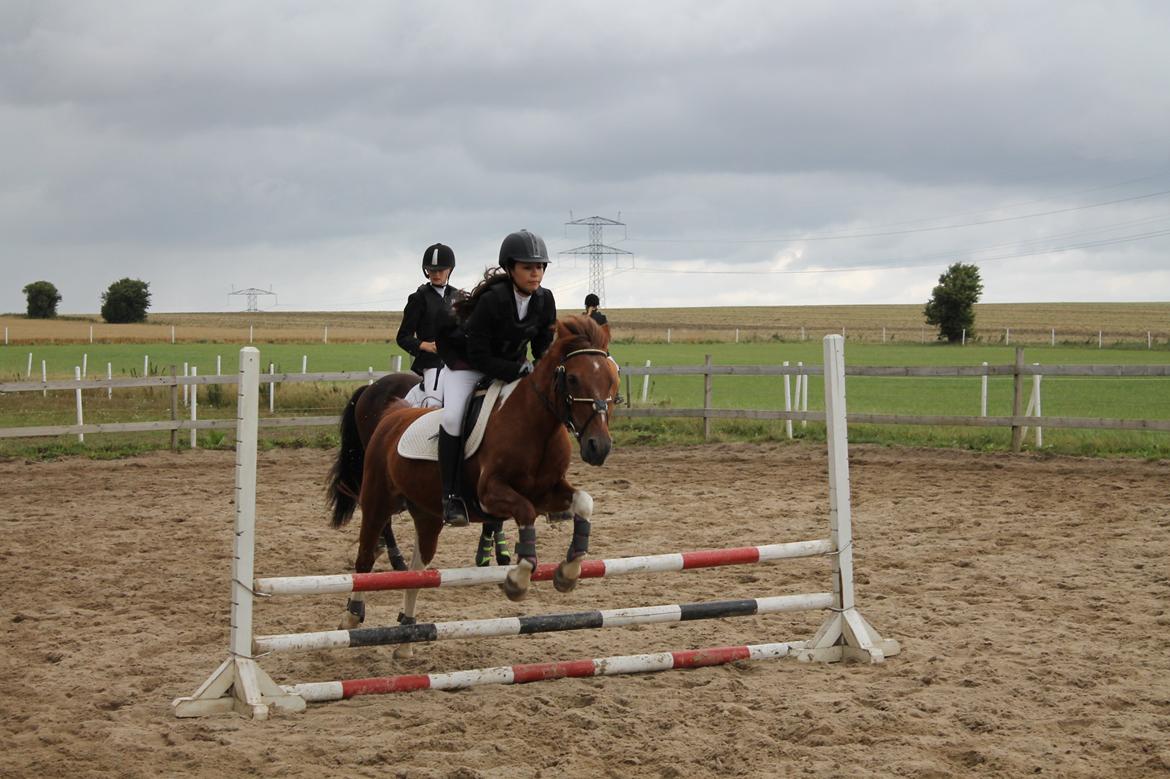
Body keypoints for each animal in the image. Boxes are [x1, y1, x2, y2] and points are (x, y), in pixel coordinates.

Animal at [336, 315, 617, 655]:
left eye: (612, 379)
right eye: (573, 379)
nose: (599, 447)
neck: (537, 426)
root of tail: (393, 413)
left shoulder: (547, 492)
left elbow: (584, 503)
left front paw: (568, 572)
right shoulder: (491, 494)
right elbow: (523, 513)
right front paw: (516, 578)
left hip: (427, 515)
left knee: (420, 570)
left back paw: (406, 636)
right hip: (378, 499)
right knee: (365, 557)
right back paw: (354, 614)